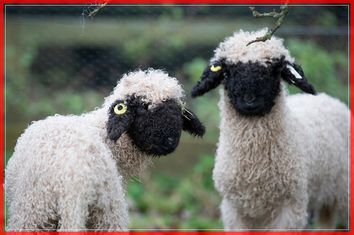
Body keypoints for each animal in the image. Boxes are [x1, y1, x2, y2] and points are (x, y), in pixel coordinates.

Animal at [191, 28, 348, 229]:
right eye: (228, 72)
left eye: (274, 70)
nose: (250, 100)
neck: (256, 167)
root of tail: (329, 98)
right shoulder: (233, 209)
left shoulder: (290, 207)